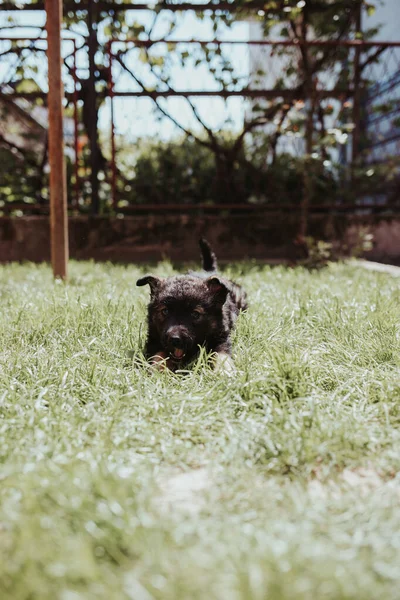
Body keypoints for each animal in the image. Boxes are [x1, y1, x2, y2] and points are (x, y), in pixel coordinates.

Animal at [137, 238, 247, 370]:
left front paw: (224, 370)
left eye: (195, 314)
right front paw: (158, 370)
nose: (175, 340)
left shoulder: (221, 339)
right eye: (165, 311)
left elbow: (221, 355)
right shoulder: (155, 339)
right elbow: (159, 356)